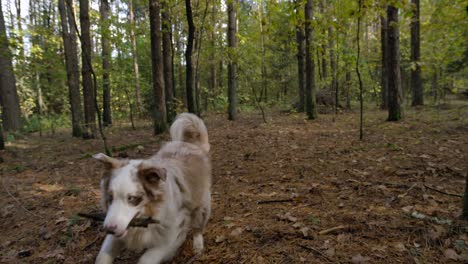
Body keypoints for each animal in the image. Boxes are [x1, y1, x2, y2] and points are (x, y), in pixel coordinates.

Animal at [92, 113, 211, 264]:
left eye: (132, 198)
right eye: (110, 197)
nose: (109, 229)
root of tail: (190, 144)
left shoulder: (171, 235)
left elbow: (147, 258)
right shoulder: (116, 231)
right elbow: (102, 255)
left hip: (201, 202)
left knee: (198, 226)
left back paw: (198, 245)